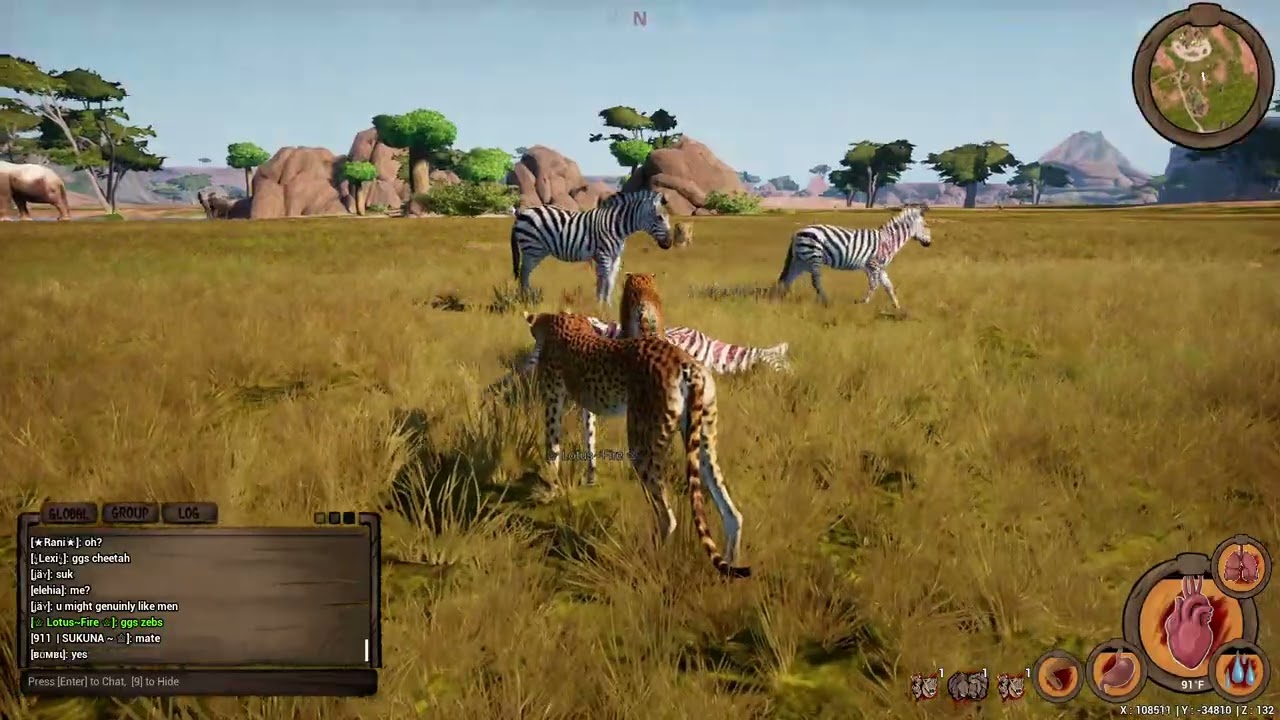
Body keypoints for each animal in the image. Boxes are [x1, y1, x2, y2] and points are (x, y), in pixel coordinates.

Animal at [510, 190, 674, 305]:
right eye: (659, 217)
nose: (669, 244)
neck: (616, 226)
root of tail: (521, 213)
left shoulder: (615, 258)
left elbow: (609, 281)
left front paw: (606, 306)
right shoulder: (604, 255)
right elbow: (605, 281)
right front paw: (602, 306)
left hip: (533, 250)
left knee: (524, 274)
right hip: (532, 248)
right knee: (524, 274)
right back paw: (527, 300)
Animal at [775, 205, 932, 308]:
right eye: (926, 225)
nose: (929, 243)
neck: (888, 240)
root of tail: (797, 232)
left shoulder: (880, 267)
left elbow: (889, 286)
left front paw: (897, 307)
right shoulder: (873, 265)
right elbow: (874, 285)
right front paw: (863, 303)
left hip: (801, 260)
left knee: (788, 279)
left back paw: (784, 300)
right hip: (814, 257)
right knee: (815, 282)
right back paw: (826, 301)